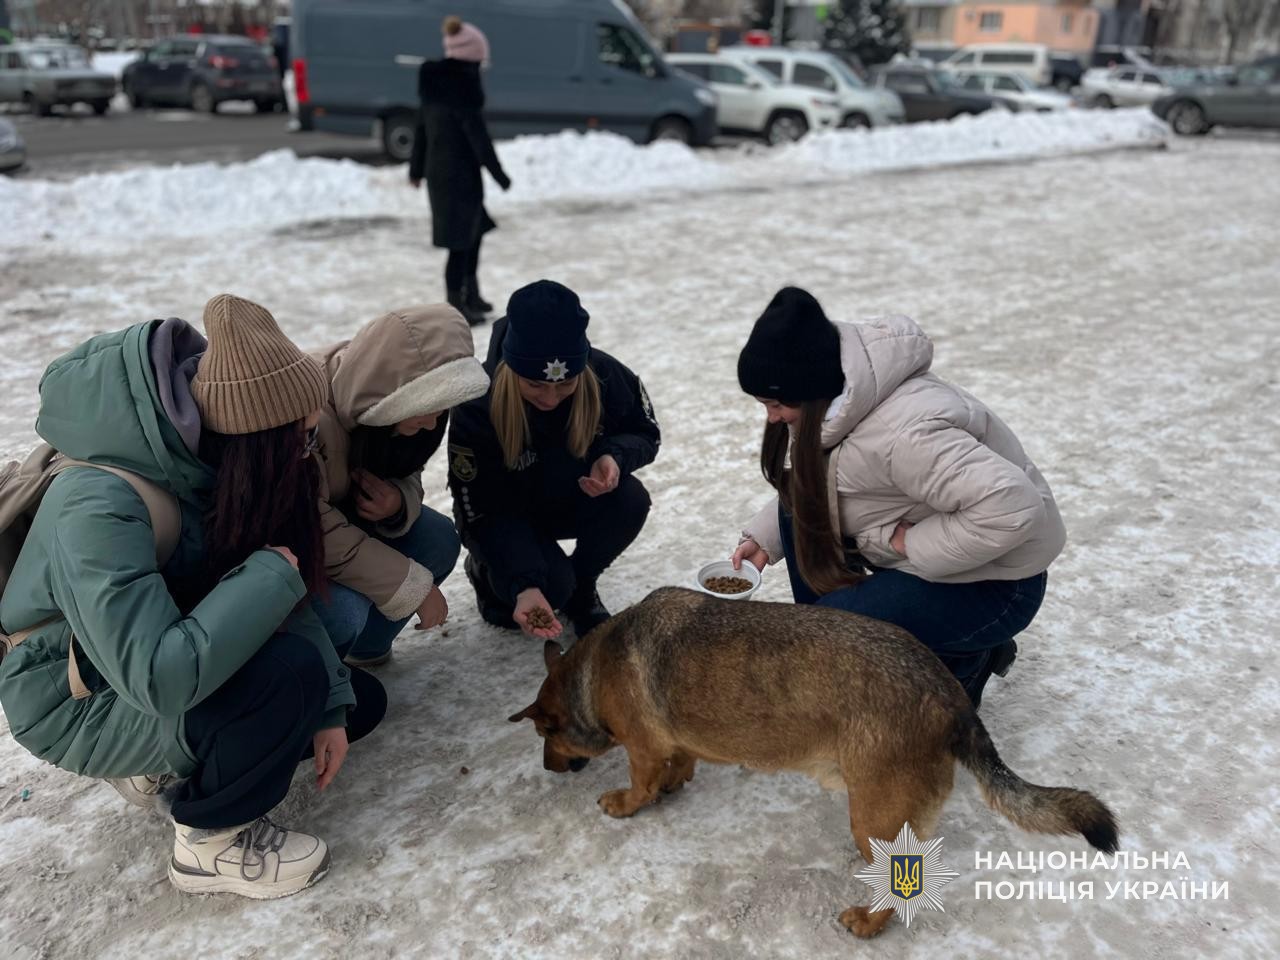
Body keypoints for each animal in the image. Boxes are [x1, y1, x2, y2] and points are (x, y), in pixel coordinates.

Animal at [509, 587, 1118, 938]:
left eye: (544, 734)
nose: (547, 768)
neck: (591, 672)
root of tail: (949, 694)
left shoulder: (641, 747)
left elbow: (639, 783)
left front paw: (627, 803)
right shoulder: (674, 743)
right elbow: (680, 764)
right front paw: (674, 784)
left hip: (872, 814)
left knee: (900, 884)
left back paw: (869, 923)